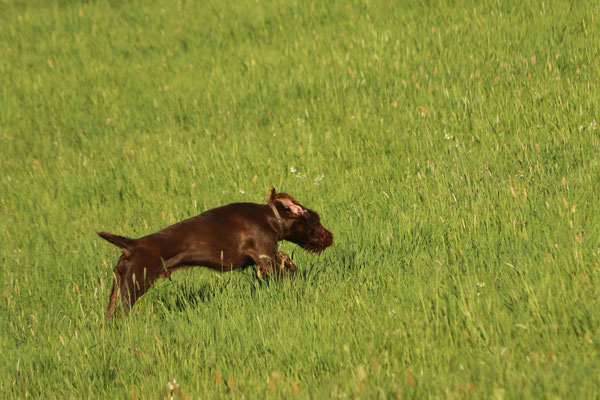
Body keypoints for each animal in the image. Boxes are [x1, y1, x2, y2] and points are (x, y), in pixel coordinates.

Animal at [98, 189, 332, 318]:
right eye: (317, 223)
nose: (331, 237)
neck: (270, 217)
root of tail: (131, 245)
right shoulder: (265, 258)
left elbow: (285, 259)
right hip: (133, 285)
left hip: (117, 288)